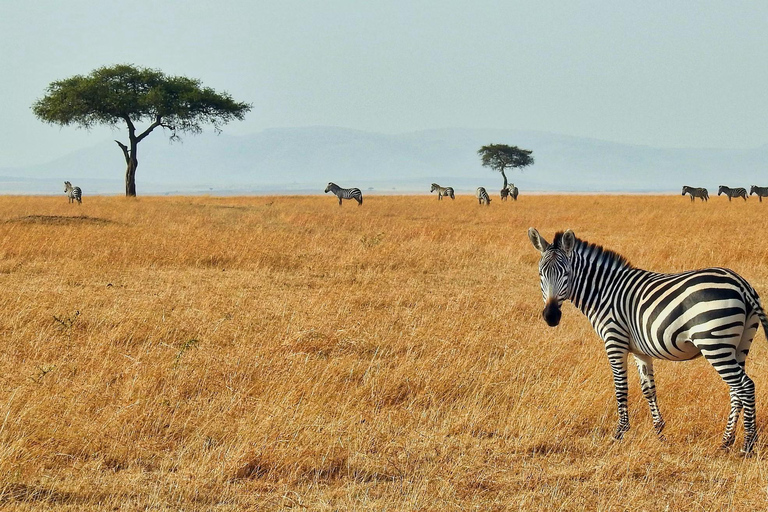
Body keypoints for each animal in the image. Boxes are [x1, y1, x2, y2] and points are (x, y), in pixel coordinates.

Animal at [528, 230, 768, 454]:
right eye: (540, 274)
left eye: (566, 273)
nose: (551, 316)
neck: (603, 292)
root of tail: (741, 283)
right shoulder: (640, 350)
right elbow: (648, 389)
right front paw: (659, 432)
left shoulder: (614, 340)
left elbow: (620, 387)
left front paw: (620, 433)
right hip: (739, 344)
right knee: (736, 390)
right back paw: (726, 442)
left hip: (714, 342)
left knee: (745, 386)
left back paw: (748, 445)